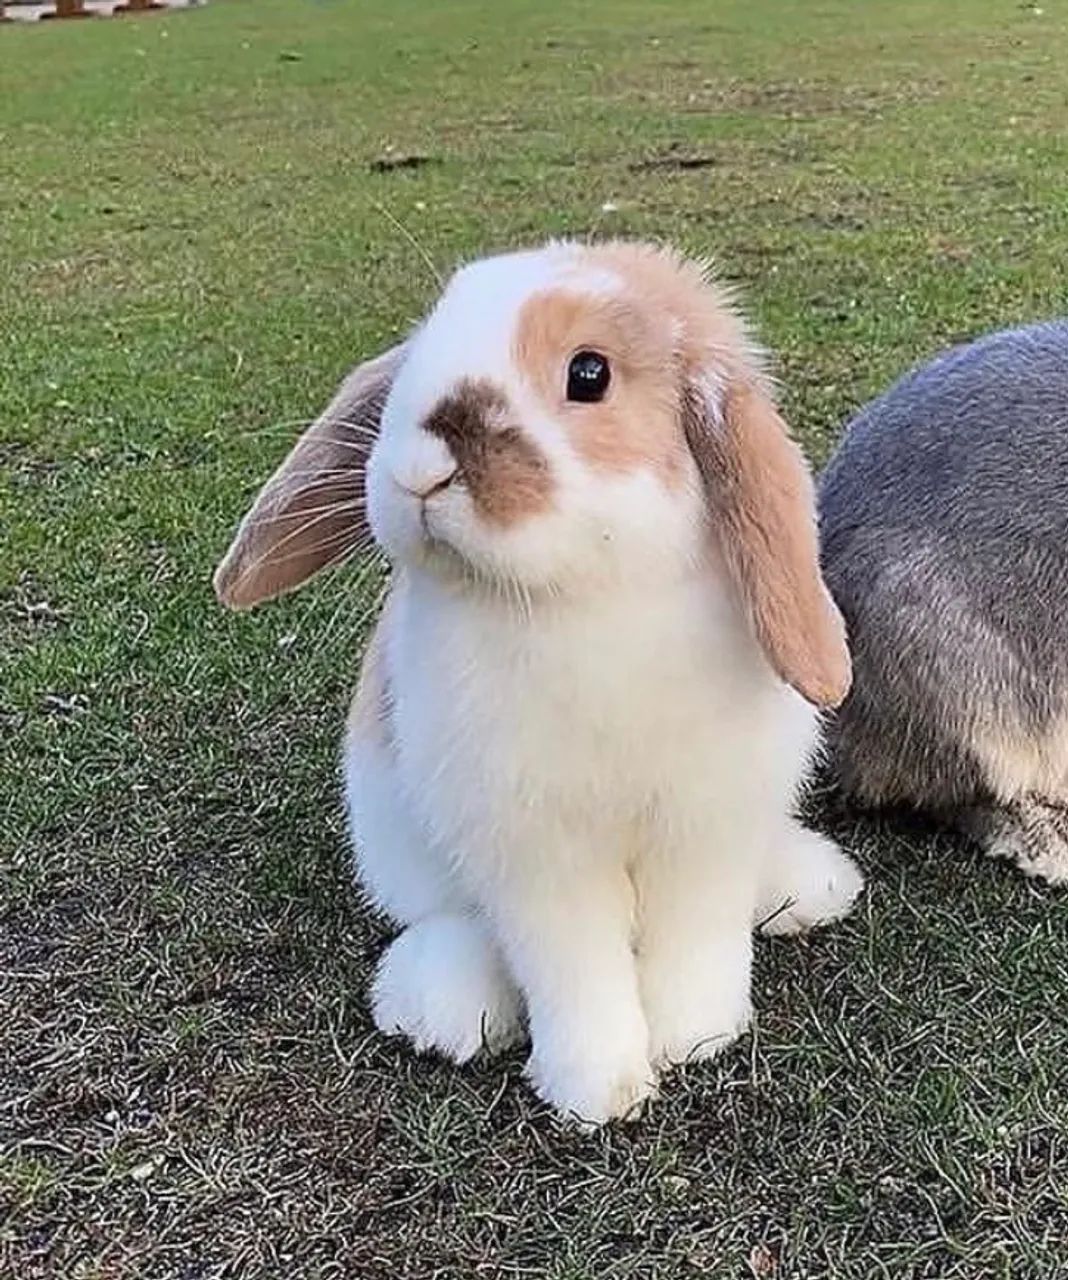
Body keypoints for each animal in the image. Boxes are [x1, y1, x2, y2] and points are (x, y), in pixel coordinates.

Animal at [215, 241, 863, 1124]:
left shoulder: (706, 827)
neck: (582, 599)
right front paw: (597, 1089)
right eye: (423, 345)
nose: (419, 472)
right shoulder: (535, 853)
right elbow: (574, 966)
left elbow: (695, 937)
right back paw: (443, 1008)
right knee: (451, 920)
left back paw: (809, 884)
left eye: (589, 374)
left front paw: (695, 1036)